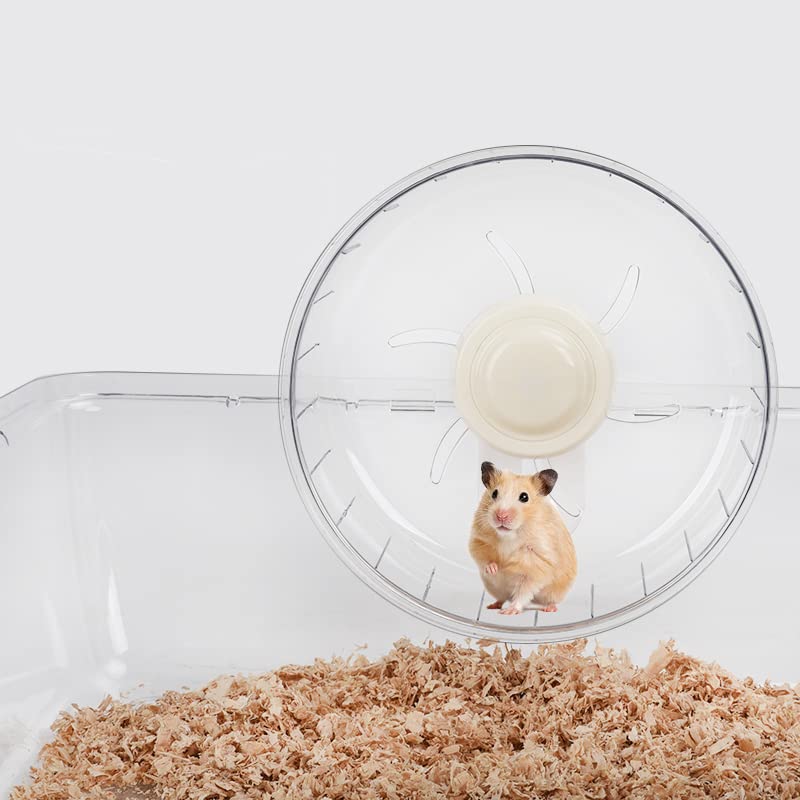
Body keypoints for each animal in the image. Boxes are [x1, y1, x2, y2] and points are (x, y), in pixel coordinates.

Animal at [469, 461, 577, 616]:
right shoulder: (478, 539)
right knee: (502, 598)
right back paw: (493, 605)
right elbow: (482, 556)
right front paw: (494, 569)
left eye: (524, 497)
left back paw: (549, 608)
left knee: (550, 600)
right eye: (494, 493)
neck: (509, 535)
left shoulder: (537, 563)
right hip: (495, 588)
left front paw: (510, 611)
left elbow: (523, 591)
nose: (501, 516)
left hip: (556, 591)